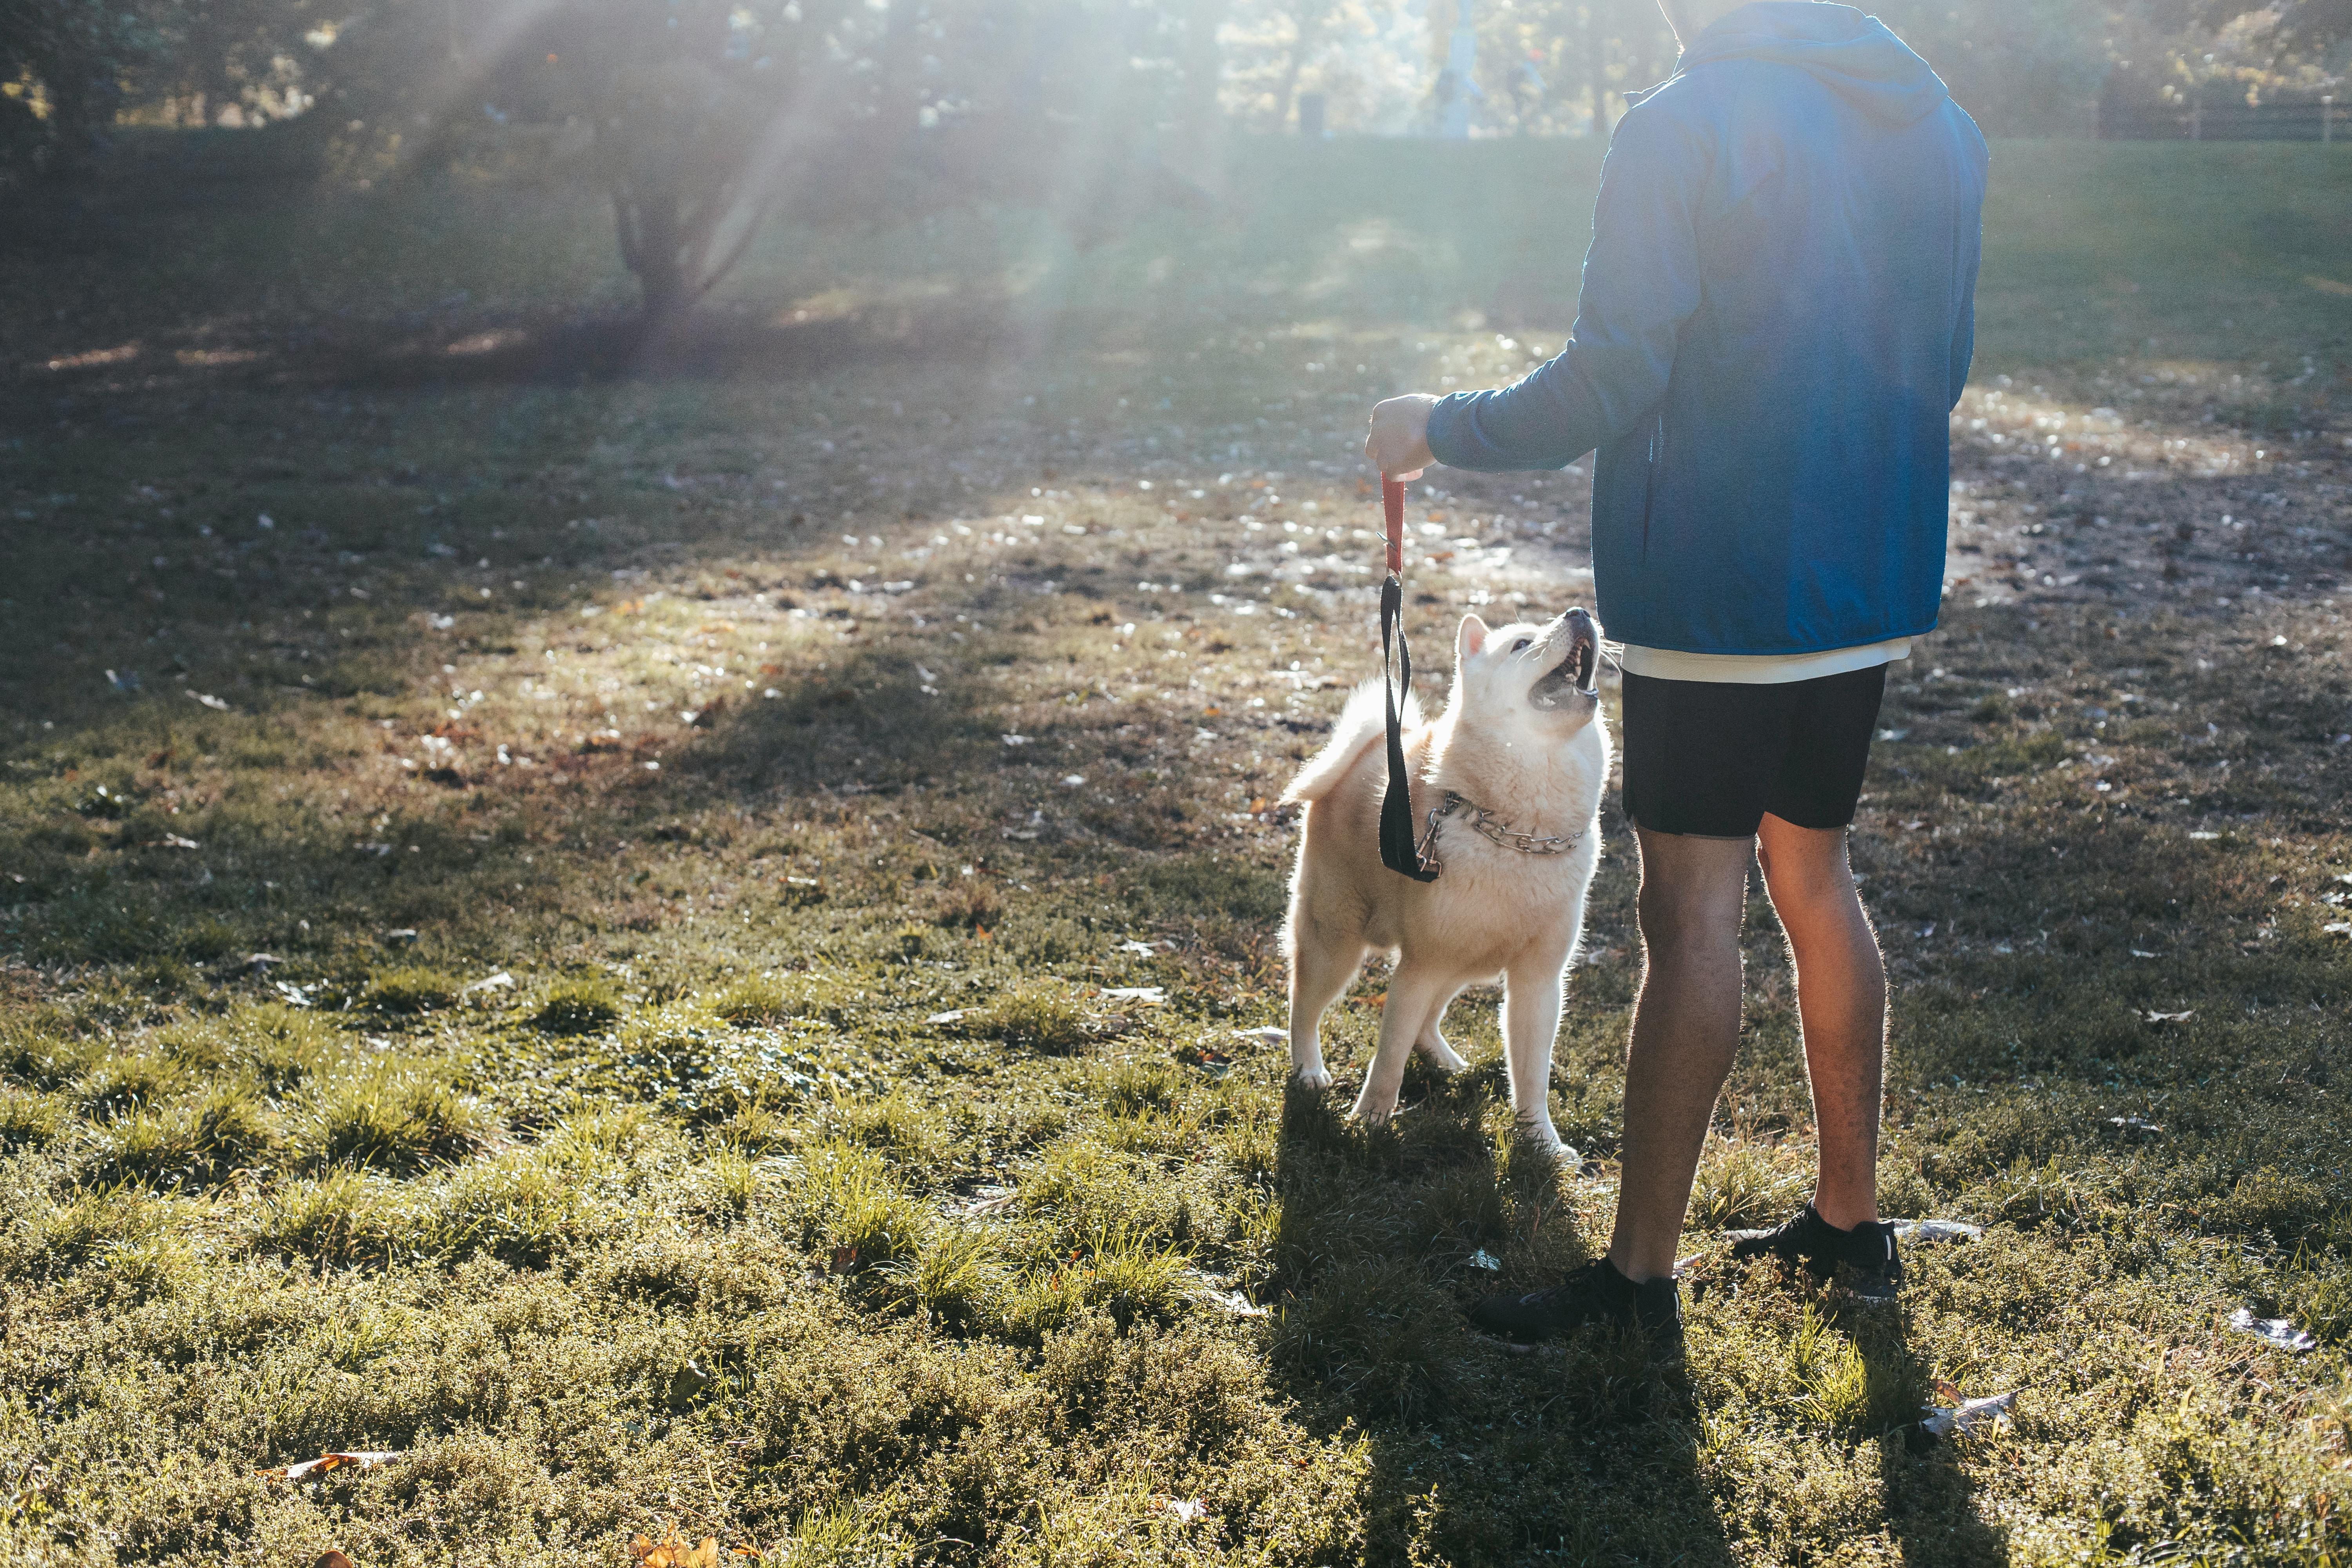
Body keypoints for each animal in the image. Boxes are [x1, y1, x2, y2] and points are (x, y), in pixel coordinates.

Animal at [1279, 606, 1609, 1161]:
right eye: (1522, 644)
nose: (1581, 613)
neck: (1521, 833)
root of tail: (1370, 749)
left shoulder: (1538, 983)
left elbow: (1533, 1077)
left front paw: (1541, 1142)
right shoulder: (1417, 970)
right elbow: (1388, 1058)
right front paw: (1369, 1122)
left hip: (1465, 963)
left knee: (1429, 1021)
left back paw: (1445, 1060)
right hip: (1337, 945)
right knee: (1303, 1006)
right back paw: (1308, 1069)